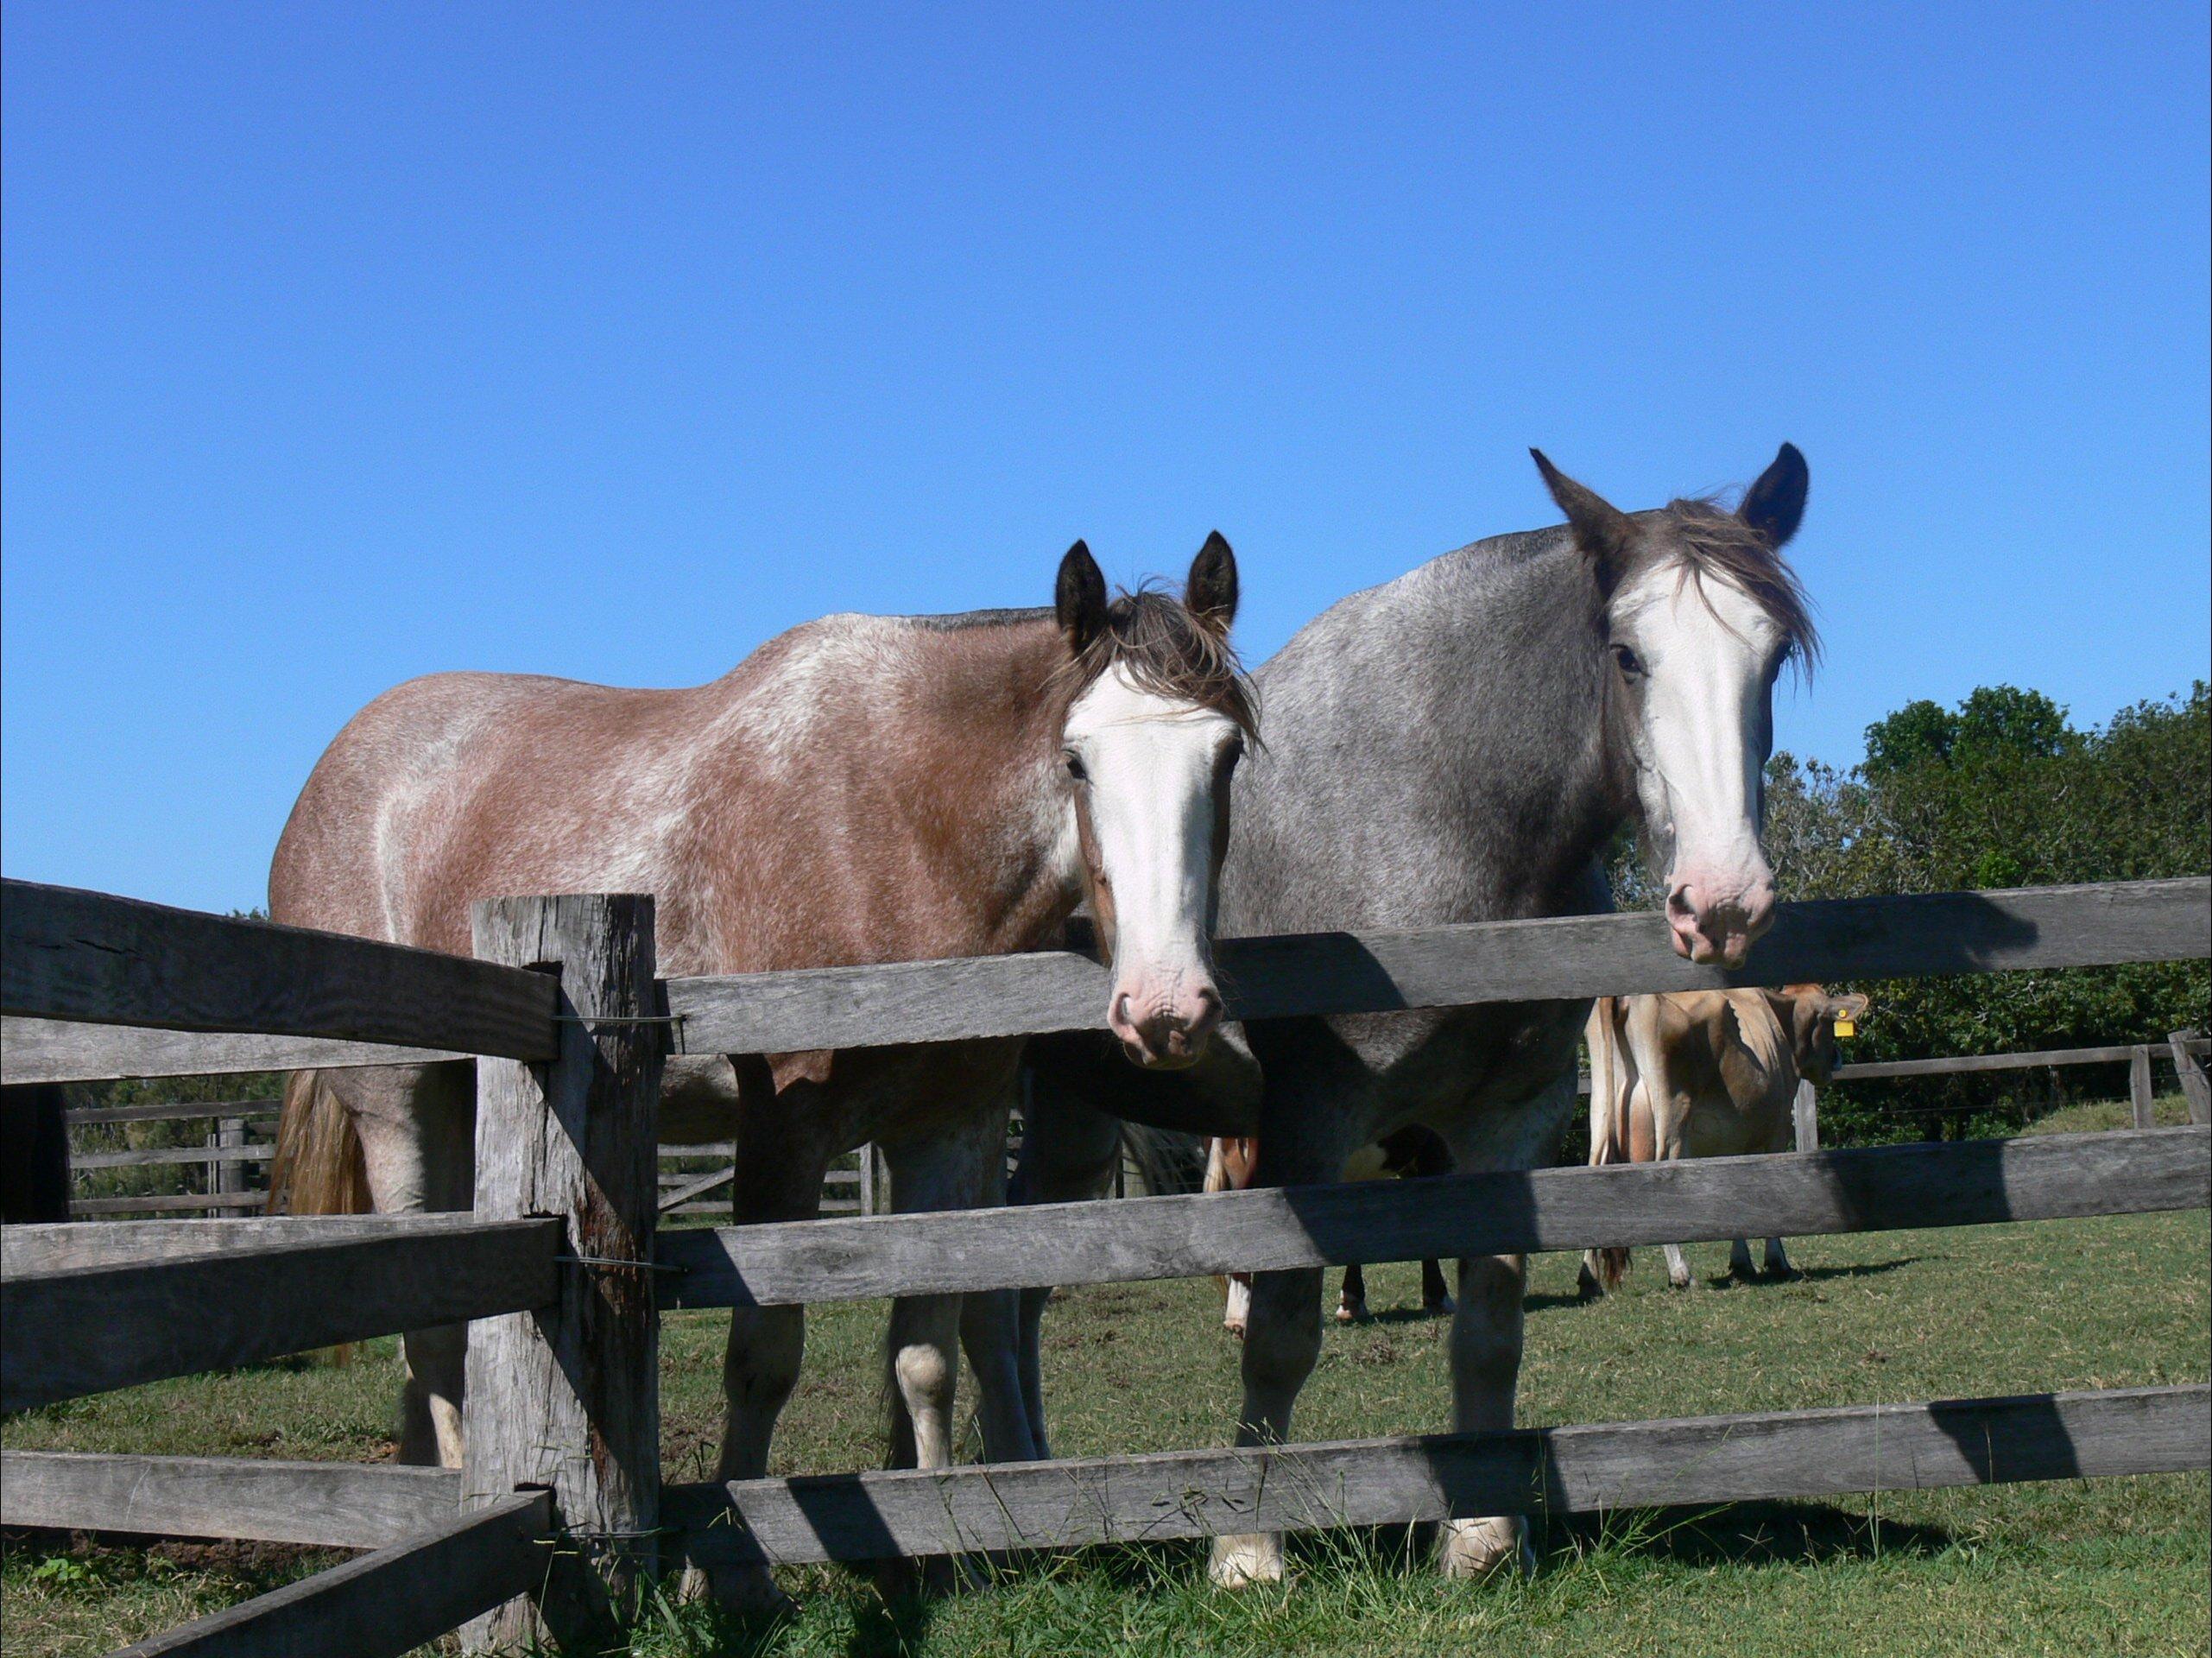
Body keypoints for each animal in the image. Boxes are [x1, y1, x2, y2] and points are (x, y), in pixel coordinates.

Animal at [268, 540, 1256, 1593]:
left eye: (1227, 754)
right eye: (1076, 759)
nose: (1167, 1008)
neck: (900, 829)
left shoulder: (953, 1130)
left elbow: (927, 1349)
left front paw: (942, 1548)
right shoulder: (788, 1132)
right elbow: (764, 1358)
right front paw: (728, 1572)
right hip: (400, 1100)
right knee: (431, 1335)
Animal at [1008, 446, 1813, 1585]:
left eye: (1773, 655)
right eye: (1627, 654)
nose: (1725, 898)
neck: (1435, 801)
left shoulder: (1507, 1125)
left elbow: (1488, 1326)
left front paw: (1480, 1534)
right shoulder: (1312, 1123)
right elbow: (1283, 1334)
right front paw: (1247, 1548)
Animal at [1575, 983, 1867, 1293]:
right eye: (1829, 1023)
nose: (1837, 1058)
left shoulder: (1733, 1138)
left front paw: (1742, 1263)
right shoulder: (1777, 1130)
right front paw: (1777, 1260)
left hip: (1602, 1111)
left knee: (1594, 1168)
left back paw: (1589, 1279)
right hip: (1672, 1115)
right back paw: (1681, 1272)